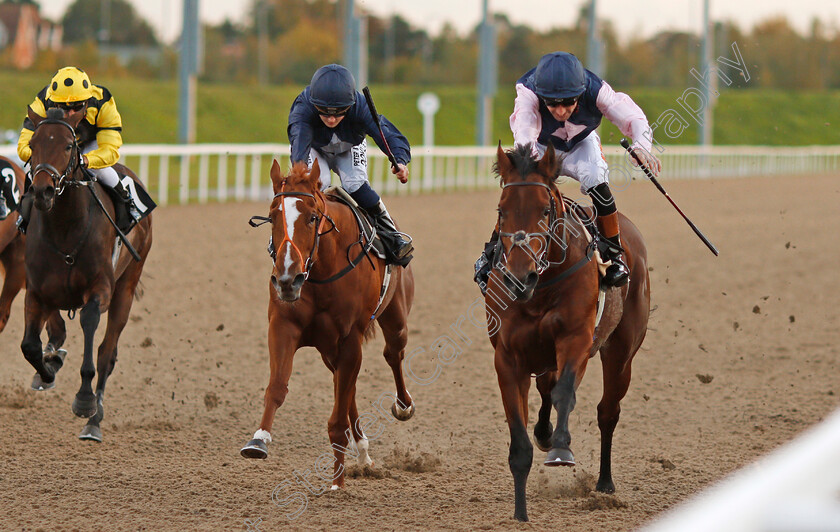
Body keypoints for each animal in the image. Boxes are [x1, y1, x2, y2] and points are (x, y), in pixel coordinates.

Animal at [22, 107, 154, 440]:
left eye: (69, 145)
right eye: (33, 144)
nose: (42, 191)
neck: (65, 229)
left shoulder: (100, 290)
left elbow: (90, 325)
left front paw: (84, 400)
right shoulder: (36, 291)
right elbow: (30, 346)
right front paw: (47, 369)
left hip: (127, 286)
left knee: (107, 352)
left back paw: (95, 418)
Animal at [241, 159, 416, 490]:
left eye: (312, 218)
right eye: (273, 217)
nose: (287, 278)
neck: (321, 271)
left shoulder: (350, 338)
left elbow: (337, 418)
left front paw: (338, 483)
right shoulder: (282, 326)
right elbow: (277, 387)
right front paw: (258, 440)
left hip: (395, 317)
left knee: (393, 354)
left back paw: (403, 406)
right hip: (328, 349)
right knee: (346, 387)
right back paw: (363, 453)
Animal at [486, 143, 648, 520]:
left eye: (545, 211)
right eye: (501, 211)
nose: (520, 278)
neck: (541, 289)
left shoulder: (576, 342)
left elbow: (565, 392)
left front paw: (560, 449)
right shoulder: (507, 358)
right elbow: (520, 439)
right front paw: (520, 513)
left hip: (621, 353)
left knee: (607, 411)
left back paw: (604, 483)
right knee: (546, 388)